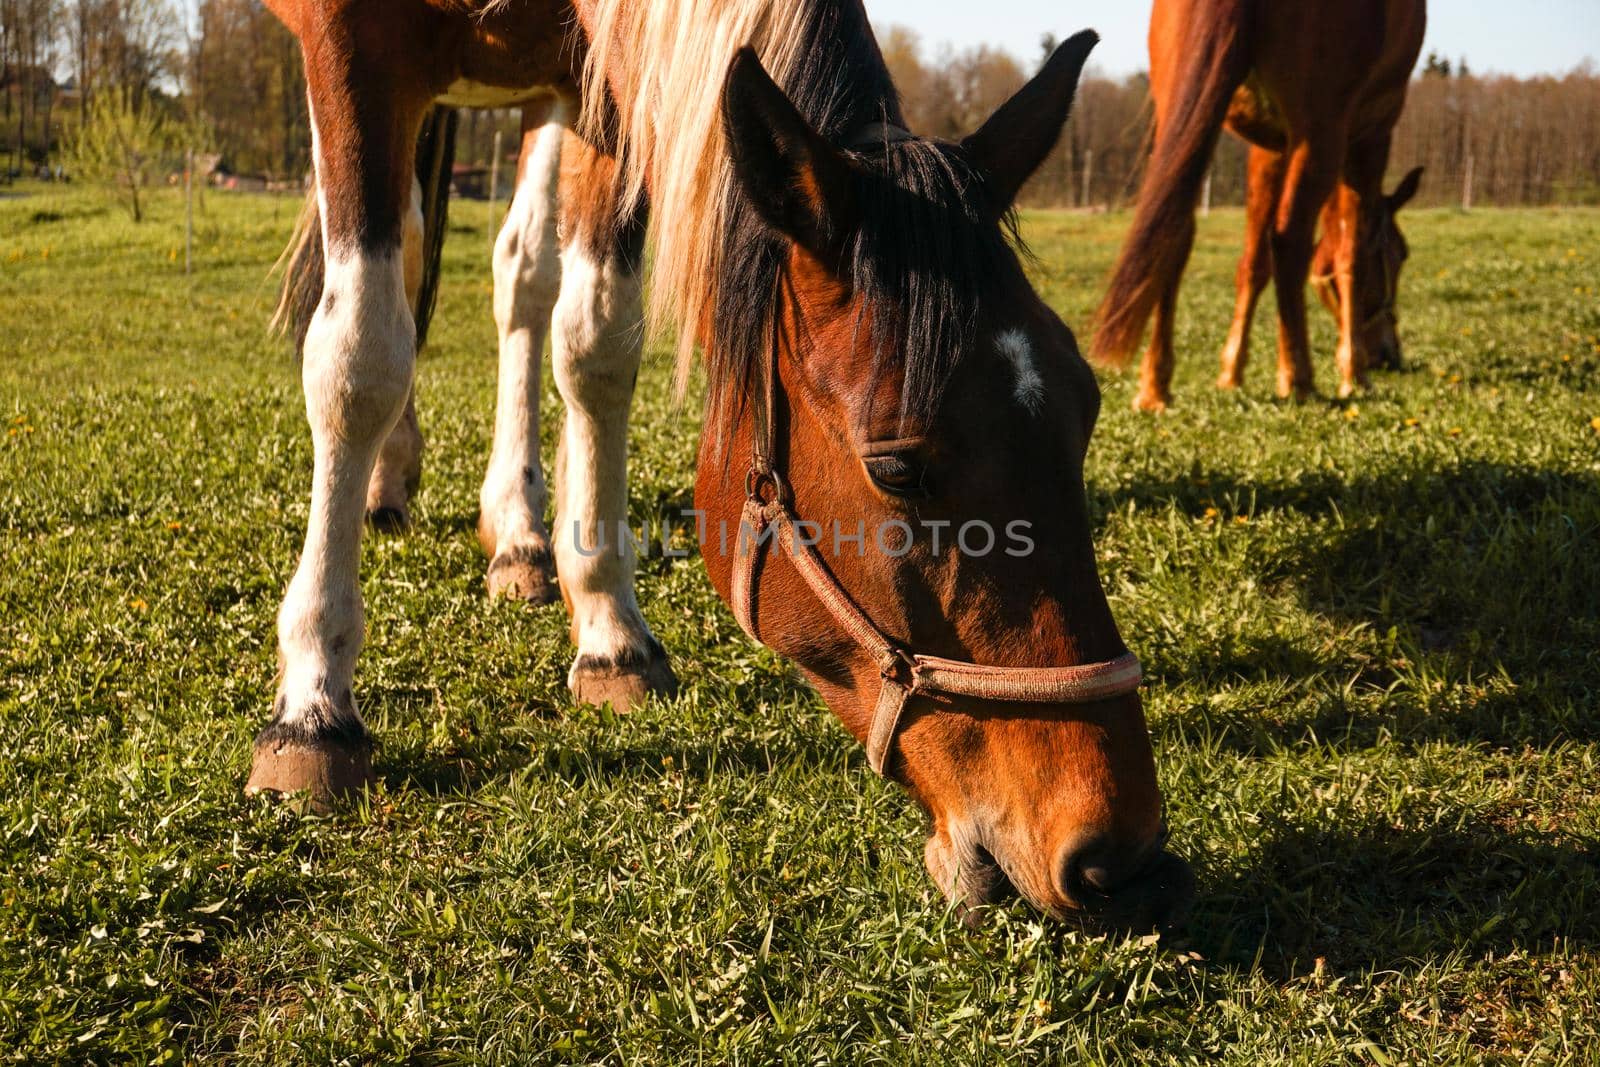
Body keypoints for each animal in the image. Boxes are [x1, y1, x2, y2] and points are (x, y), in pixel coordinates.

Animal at [246, 0, 1190, 927]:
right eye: (895, 468)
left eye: (1086, 405)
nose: (1121, 850)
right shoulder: (347, 40)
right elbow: (360, 353)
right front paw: (314, 699)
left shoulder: (598, 87)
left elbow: (595, 338)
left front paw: (609, 629)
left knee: (519, 270)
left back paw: (516, 532)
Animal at [1100, 0, 1427, 412]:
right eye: (1401, 255)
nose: (1388, 355)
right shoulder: (1369, 138)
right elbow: (1351, 255)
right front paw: (1353, 375)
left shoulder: (1269, 148)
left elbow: (1254, 264)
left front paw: (1230, 373)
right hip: (1320, 136)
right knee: (1290, 241)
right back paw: (1300, 380)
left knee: (1171, 234)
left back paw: (1154, 387)